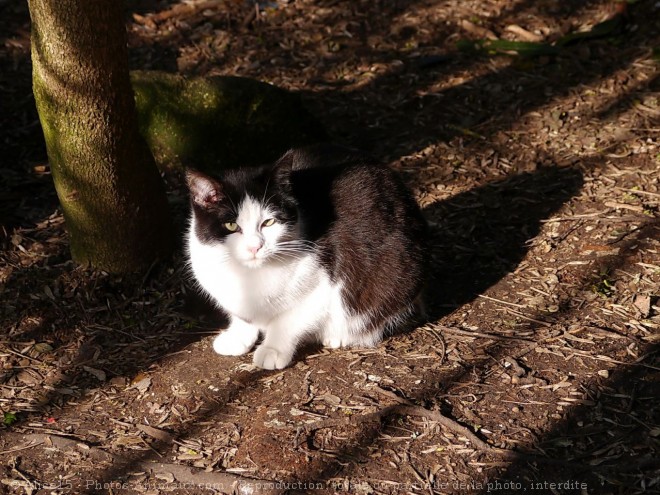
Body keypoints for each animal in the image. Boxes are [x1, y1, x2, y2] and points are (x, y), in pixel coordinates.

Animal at [186, 143, 428, 368]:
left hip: (400, 272)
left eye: (268, 222)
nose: (255, 247)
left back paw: (339, 335)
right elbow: (242, 315)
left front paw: (273, 349)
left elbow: (290, 319)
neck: (249, 274)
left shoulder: (325, 284)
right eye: (231, 225)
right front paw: (238, 336)